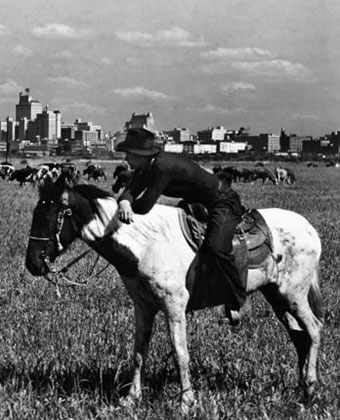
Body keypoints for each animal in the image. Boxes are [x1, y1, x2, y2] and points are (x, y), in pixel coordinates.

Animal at [25, 177, 324, 414]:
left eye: (50, 216)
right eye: (35, 214)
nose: (33, 264)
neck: (145, 244)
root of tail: (310, 229)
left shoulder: (174, 306)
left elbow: (180, 353)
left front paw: (186, 402)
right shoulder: (143, 307)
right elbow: (139, 352)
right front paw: (131, 398)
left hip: (294, 294)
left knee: (314, 330)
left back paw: (310, 387)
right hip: (276, 296)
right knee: (299, 337)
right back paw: (300, 389)